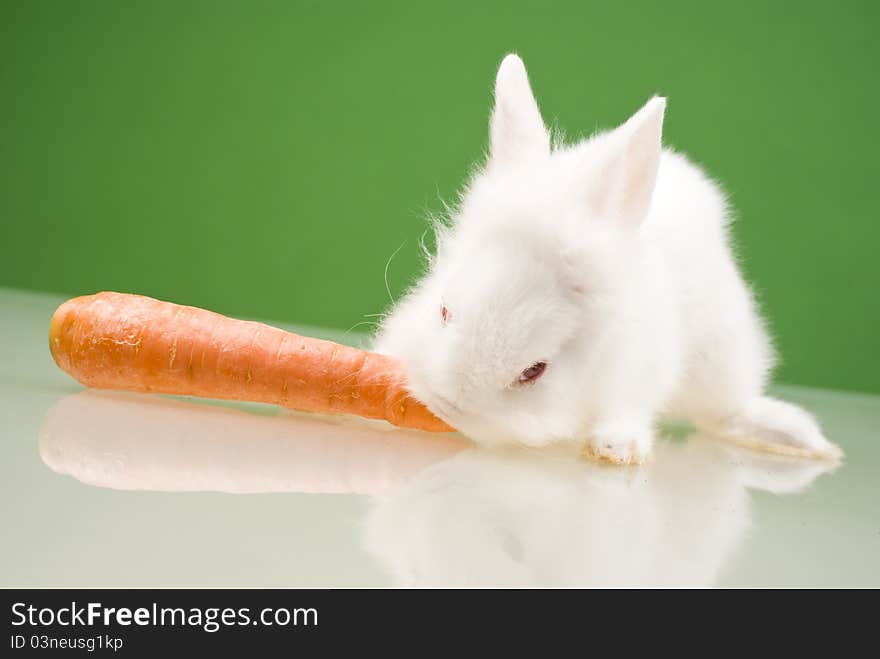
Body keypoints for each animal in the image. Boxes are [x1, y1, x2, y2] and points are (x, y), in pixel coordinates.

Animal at [372, 52, 840, 464]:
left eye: (534, 370)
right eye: (444, 311)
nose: (448, 403)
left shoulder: (638, 371)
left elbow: (626, 411)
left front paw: (616, 450)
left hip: (724, 360)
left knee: (725, 412)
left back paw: (801, 441)